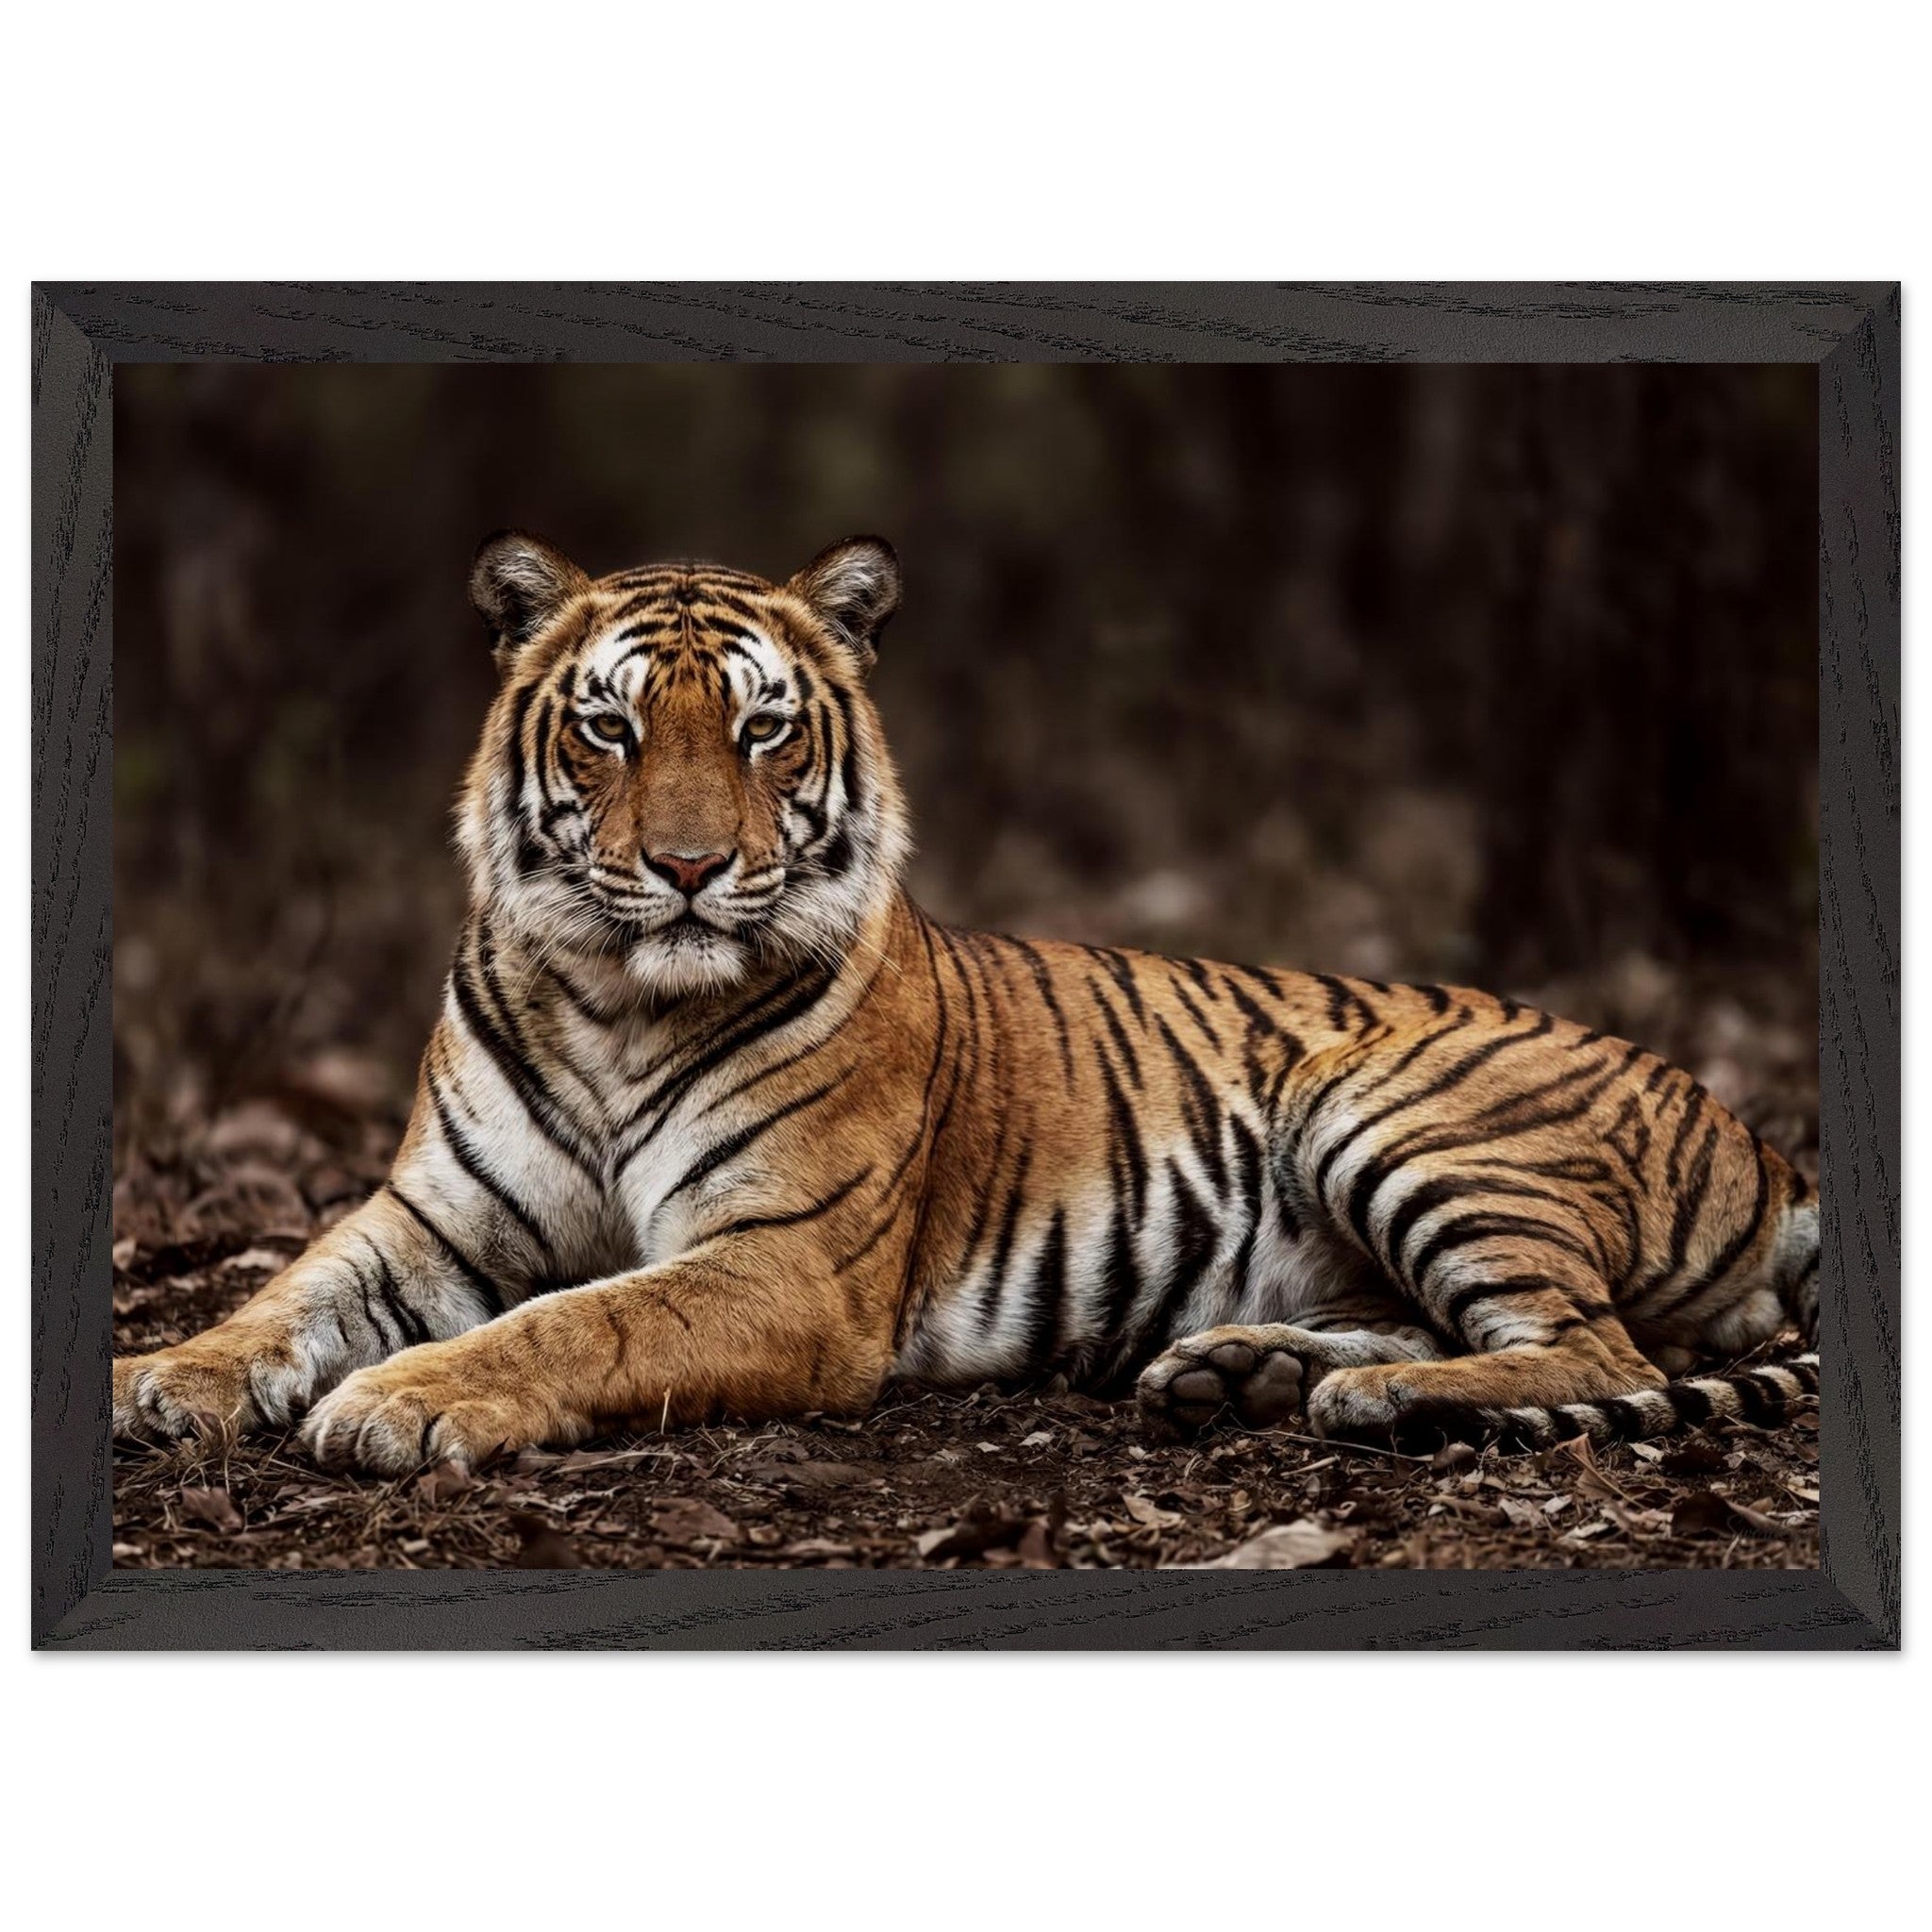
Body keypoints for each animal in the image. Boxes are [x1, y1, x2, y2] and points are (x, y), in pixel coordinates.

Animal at [112, 532, 1821, 1476]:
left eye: (762, 730)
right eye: (609, 728)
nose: (686, 867)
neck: (612, 999)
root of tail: (1757, 1132)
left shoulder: (780, 1262)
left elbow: (577, 1320)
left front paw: (401, 1401)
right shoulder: (432, 1216)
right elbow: (284, 1296)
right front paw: (158, 1379)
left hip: (1393, 1103)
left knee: (1600, 1356)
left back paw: (1377, 1400)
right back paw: (1249, 1372)